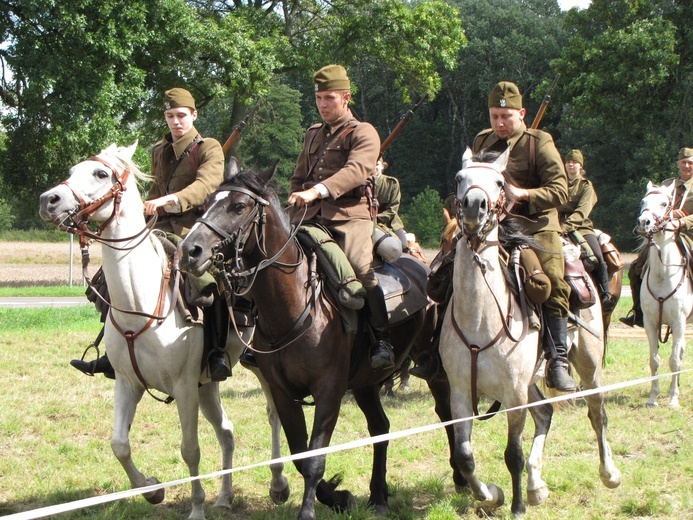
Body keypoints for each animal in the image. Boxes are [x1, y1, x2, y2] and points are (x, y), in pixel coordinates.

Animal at [39, 143, 288, 520]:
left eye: (101, 173)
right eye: (72, 170)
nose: (48, 200)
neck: (140, 301)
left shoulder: (184, 389)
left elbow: (190, 449)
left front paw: (196, 508)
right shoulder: (128, 384)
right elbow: (119, 444)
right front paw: (152, 490)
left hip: (258, 369)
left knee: (274, 415)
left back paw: (277, 483)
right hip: (208, 384)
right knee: (227, 432)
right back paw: (224, 497)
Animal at [178, 164, 464, 520]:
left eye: (239, 206)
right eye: (205, 204)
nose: (189, 251)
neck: (293, 304)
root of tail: (424, 267)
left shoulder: (329, 390)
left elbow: (314, 457)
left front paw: (310, 510)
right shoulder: (283, 393)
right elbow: (300, 454)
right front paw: (338, 496)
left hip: (432, 366)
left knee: (446, 411)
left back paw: (461, 476)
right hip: (365, 382)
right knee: (380, 427)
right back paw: (378, 496)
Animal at [438, 149, 620, 516]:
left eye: (499, 182)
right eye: (459, 178)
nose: (474, 205)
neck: (480, 319)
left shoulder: (514, 397)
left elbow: (513, 454)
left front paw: (517, 505)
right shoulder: (460, 393)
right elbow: (465, 456)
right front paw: (492, 495)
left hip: (589, 365)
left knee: (597, 413)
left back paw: (608, 473)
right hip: (531, 383)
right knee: (546, 414)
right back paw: (537, 486)